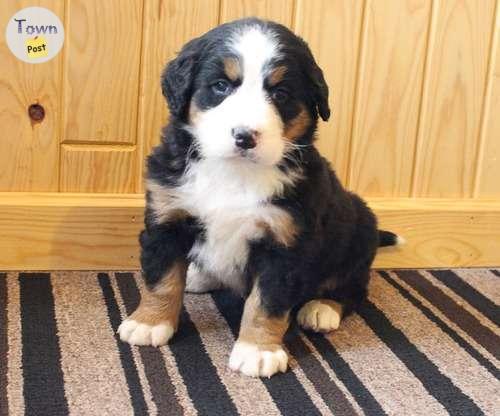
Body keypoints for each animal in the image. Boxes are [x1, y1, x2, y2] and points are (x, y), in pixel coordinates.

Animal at [119, 17, 400, 378]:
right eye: (221, 86)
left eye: (280, 93)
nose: (245, 136)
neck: (234, 173)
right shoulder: (168, 216)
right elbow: (162, 279)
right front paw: (150, 323)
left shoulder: (283, 242)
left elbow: (266, 301)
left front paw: (258, 350)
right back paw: (199, 275)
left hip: (357, 234)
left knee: (353, 287)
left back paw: (322, 309)